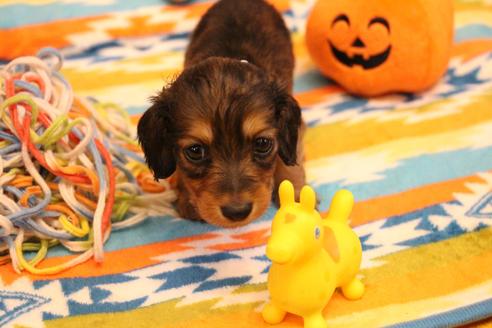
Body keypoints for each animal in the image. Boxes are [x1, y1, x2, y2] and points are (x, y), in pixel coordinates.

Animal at [137, 0, 304, 227]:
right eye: (195, 151)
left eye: (262, 144)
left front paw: (294, 193)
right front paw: (187, 199)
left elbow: (289, 160)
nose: (237, 212)